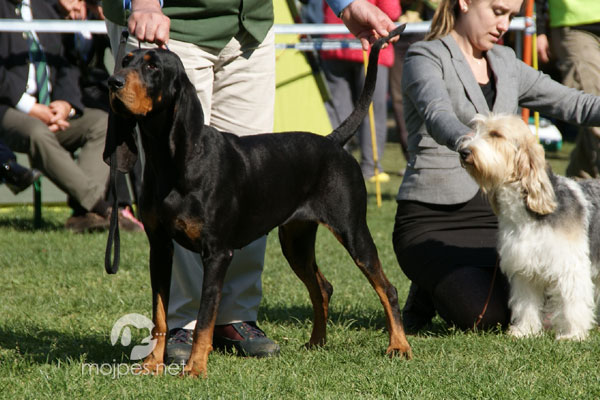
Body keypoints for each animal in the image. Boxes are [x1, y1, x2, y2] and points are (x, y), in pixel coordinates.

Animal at [460, 113, 600, 340]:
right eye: (476, 130)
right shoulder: (524, 267)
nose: (463, 152)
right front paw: (525, 330)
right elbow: (526, 304)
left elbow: (572, 303)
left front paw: (572, 334)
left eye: (496, 134)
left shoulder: (570, 266)